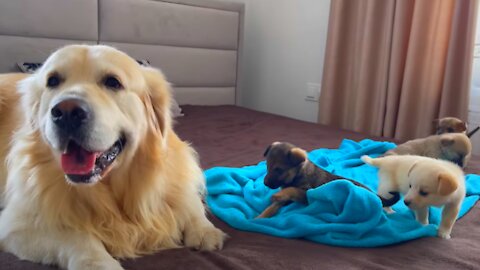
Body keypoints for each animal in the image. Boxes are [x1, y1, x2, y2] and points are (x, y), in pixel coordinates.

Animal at [0, 44, 225, 270]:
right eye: (53, 81)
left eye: (112, 82)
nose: (66, 112)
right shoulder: (17, 223)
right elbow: (75, 236)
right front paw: (98, 262)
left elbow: (189, 201)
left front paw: (204, 230)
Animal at [256, 142, 400, 218]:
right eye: (267, 166)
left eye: (279, 170)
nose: (265, 183)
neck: (298, 174)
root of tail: (375, 195)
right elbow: (272, 207)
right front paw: (259, 218)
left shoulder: (307, 194)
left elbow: (292, 190)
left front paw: (278, 194)